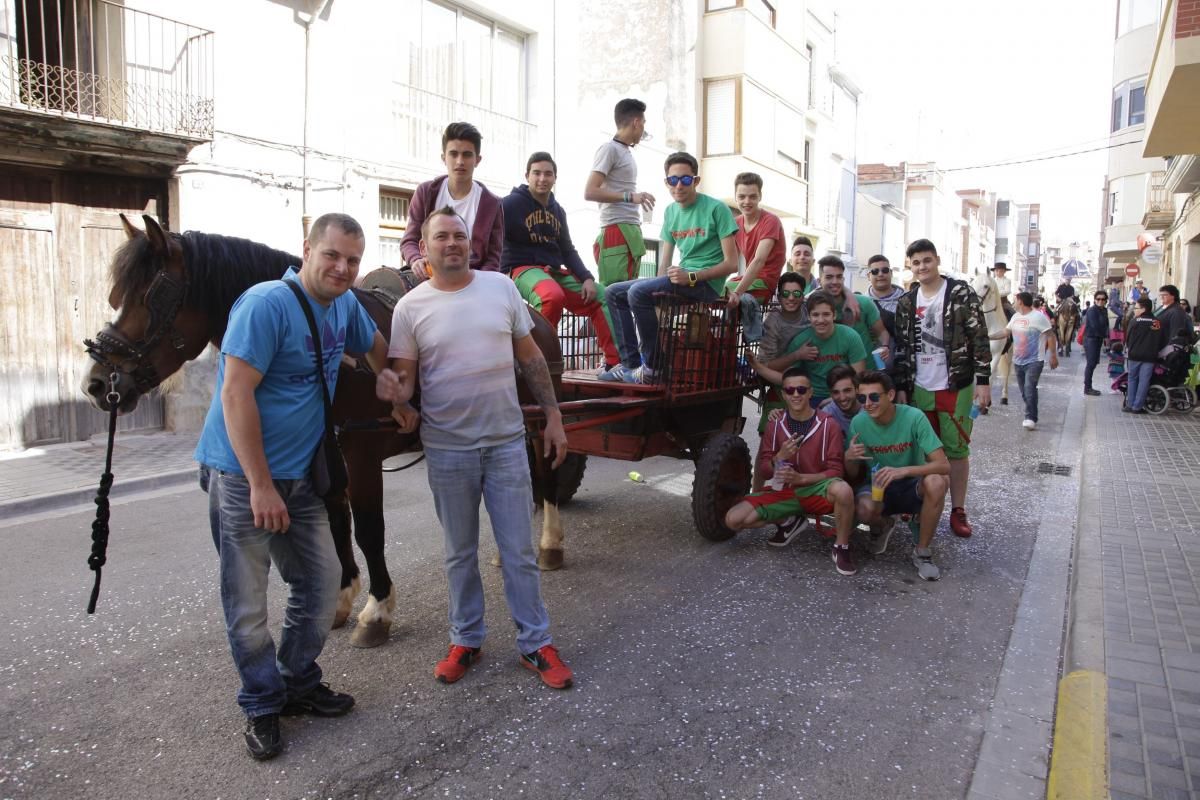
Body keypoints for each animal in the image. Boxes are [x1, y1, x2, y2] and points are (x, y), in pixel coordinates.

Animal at [81, 214, 566, 652]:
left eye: (151, 298)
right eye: (118, 295)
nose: (96, 384)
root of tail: (534, 320)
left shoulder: (362, 456)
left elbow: (368, 530)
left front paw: (376, 611)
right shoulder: (329, 457)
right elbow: (336, 526)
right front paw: (341, 598)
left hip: (539, 420)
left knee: (545, 474)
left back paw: (548, 544)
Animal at [974, 273, 1012, 407]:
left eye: (986, 286)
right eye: (972, 283)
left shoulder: (995, 355)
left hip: (1009, 354)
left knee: (1006, 373)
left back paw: (1004, 397)